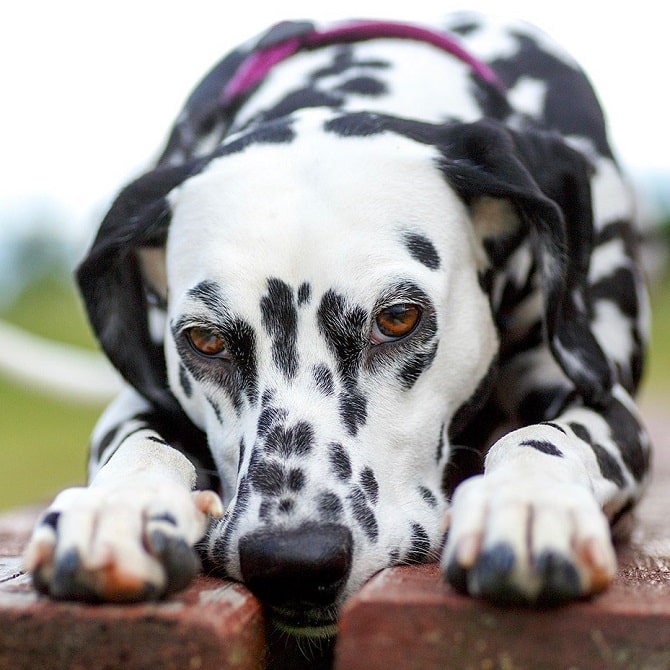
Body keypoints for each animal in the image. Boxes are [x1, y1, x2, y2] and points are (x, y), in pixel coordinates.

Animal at [25, 13, 652, 636]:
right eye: (205, 340)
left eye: (398, 318)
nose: (294, 562)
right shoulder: (146, 397)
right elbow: (137, 441)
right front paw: (116, 507)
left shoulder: (601, 396)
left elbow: (545, 434)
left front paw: (526, 502)